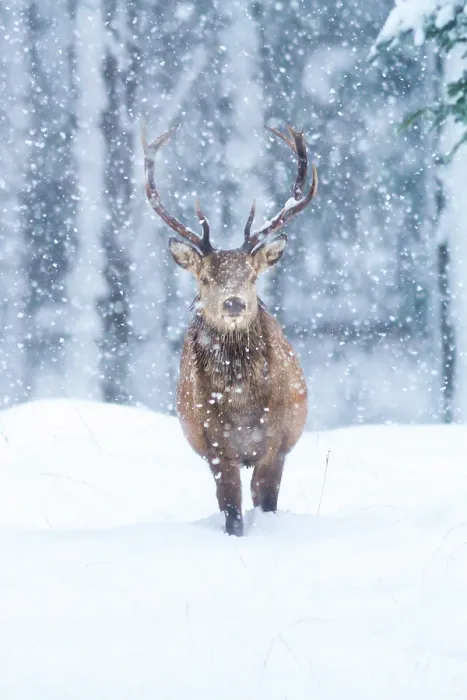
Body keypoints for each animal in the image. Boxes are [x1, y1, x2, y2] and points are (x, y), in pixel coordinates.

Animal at [142, 124, 318, 536]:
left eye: (252, 275)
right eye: (205, 278)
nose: (234, 303)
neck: (241, 405)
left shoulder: (276, 444)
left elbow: (266, 501)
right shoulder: (216, 448)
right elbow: (231, 511)